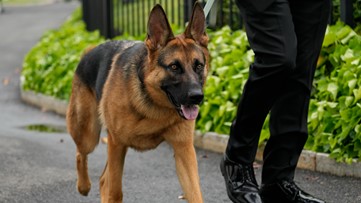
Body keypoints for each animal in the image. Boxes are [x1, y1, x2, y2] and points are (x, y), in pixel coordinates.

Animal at [66, 2, 208, 203]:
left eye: (199, 66)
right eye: (174, 67)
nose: (197, 96)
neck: (154, 105)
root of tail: (88, 52)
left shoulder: (184, 149)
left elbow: (195, 193)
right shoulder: (117, 144)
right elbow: (115, 191)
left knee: (102, 179)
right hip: (89, 135)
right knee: (81, 155)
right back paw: (83, 186)